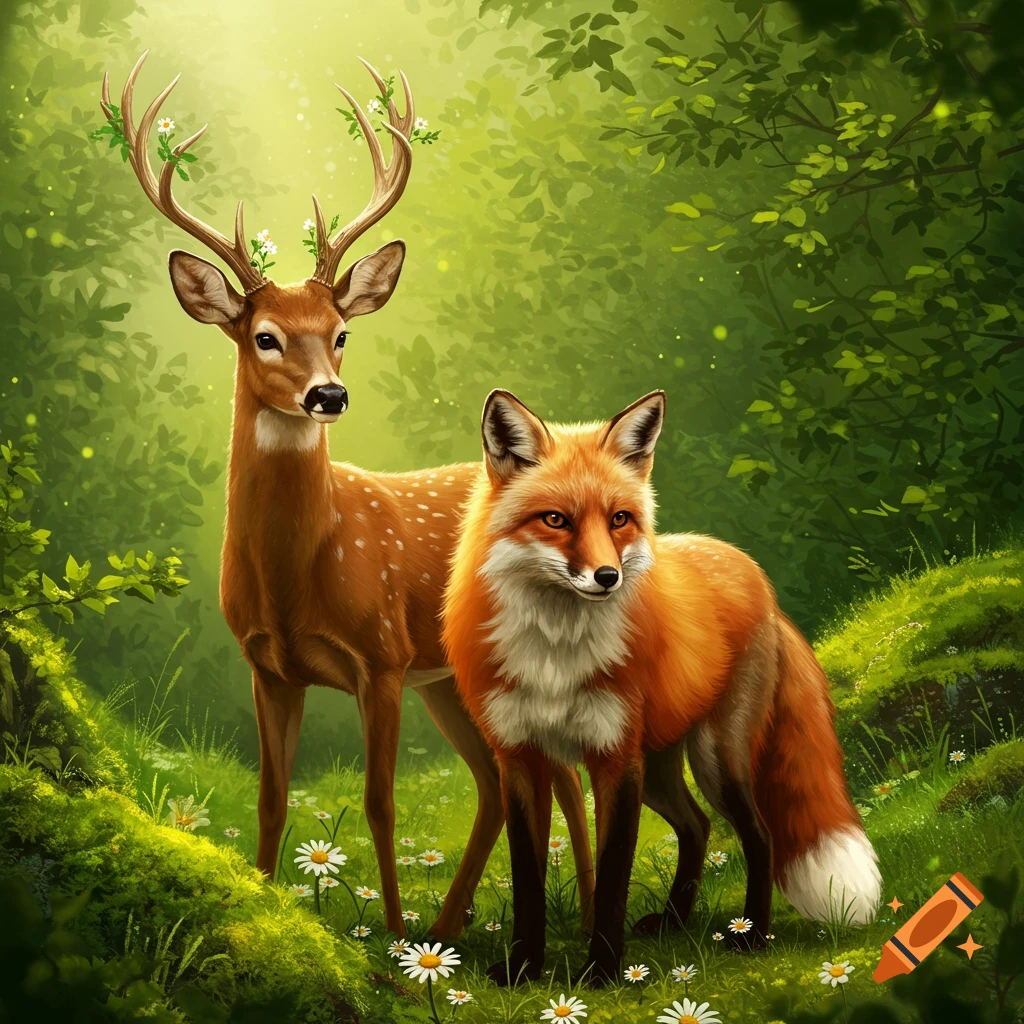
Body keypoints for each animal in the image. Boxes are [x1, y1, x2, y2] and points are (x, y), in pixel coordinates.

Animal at [97, 51, 595, 940]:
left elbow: (380, 805)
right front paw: (267, 915)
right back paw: (452, 929)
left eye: (341, 334)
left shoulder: (383, 657)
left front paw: (390, 943)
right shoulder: (268, 665)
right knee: (506, 780)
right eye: (264, 336)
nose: (328, 395)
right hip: (451, 680)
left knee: (548, 773)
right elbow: (269, 801)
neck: (299, 574)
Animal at [443, 389, 882, 985]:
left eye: (619, 519)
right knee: (697, 825)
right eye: (555, 520)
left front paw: (602, 972)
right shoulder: (520, 758)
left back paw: (753, 935)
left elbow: (612, 876)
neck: (556, 653)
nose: (608, 577)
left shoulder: (614, 758)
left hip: (715, 759)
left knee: (760, 834)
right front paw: (523, 969)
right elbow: (528, 879)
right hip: (658, 768)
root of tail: (755, 573)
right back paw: (676, 921)